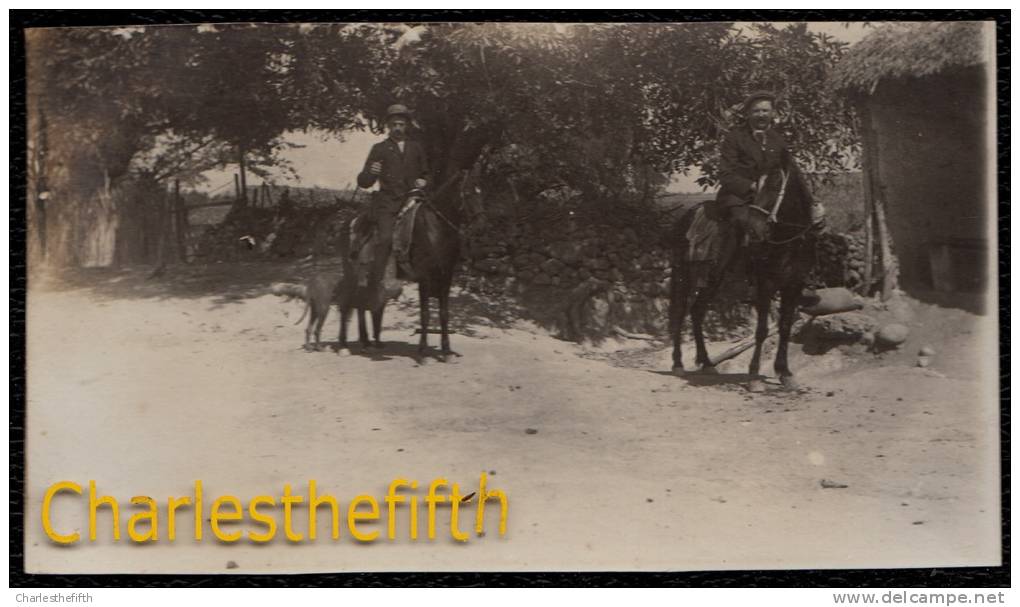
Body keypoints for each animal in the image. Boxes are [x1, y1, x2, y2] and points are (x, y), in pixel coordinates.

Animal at [669, 159, 820, 391]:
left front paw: (784, 372)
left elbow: (785, 327)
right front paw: (754, 376)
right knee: (679, 312)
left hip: (714, 279)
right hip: (683, 276)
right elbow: (762, 330)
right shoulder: (766, 285)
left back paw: (706, 362)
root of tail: (688, 213)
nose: (757, 229)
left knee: (697, 311)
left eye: (775, 185)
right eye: (757, 185)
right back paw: (678, 363)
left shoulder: (793, 286)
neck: (788, 240)